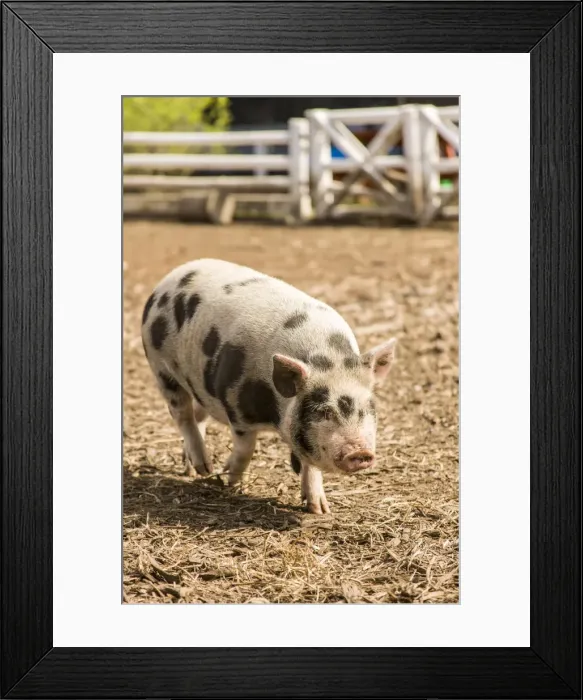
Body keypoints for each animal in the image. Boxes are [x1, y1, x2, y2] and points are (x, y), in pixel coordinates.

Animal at [141, 259, 396, 514]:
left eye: (368, 409)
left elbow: (311, 465)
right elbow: (246, 449)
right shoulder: (236, 407)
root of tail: (173, 276)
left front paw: (320, 509)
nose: (360, 451)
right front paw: (231, 482)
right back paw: (206, 469)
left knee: (198, 415)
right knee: (182, 415)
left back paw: (194, 470)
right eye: (324, 411)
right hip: (160, 368)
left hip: (198, 382)